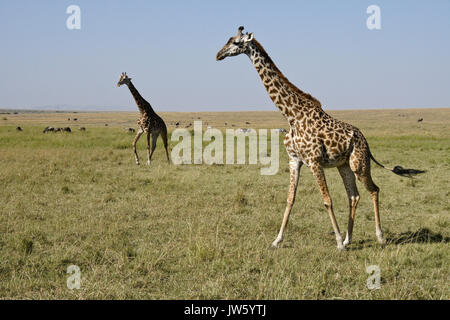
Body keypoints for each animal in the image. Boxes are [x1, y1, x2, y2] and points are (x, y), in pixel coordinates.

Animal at [216, 26, 424, 250]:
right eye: (229, 39)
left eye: (236, 42)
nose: (219, 54)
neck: (291, 115)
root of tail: (365, 141)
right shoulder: (294, 160)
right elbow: (290, 199)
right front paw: (277, 240)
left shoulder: (314, 161)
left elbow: (327, 200)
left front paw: (338, 242)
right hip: (344, 165)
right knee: (354, 195)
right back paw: (350, 238)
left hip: (359, 164)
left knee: (374, 190)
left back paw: (379, 237)